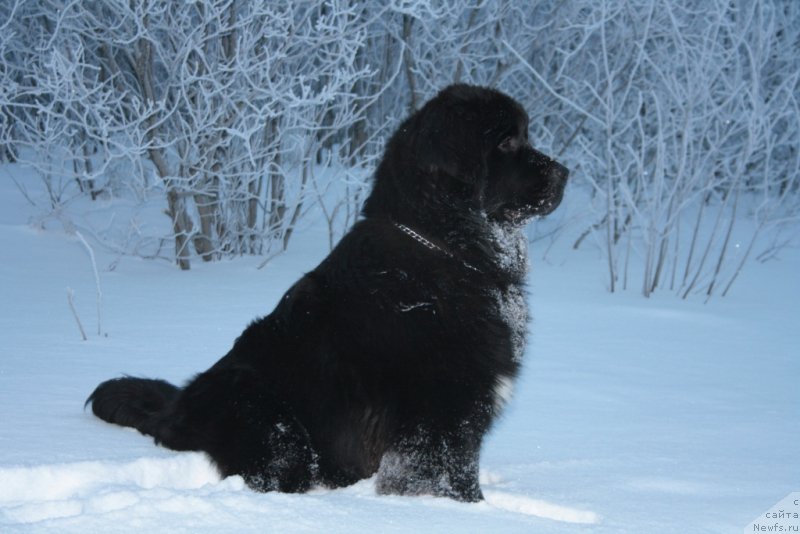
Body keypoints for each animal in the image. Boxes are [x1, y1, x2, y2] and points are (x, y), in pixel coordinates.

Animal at [87, 84, 568, 502]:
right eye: (508, 142)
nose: (565, 172)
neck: (443, 248)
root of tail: (178, 406)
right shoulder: (441, 413)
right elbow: (447, 476)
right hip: (275, 428)